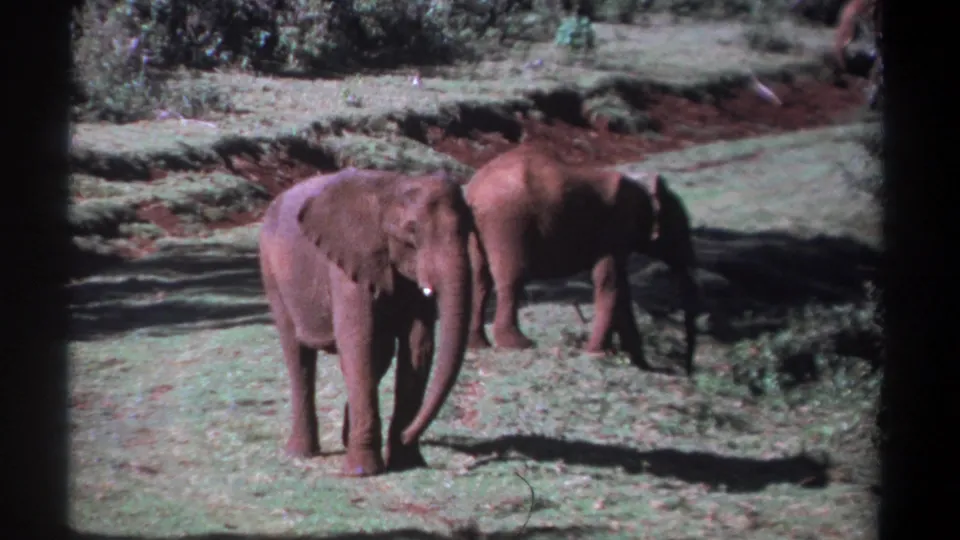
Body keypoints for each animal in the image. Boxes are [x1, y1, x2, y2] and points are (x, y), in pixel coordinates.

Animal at [258, 167, 474, 477]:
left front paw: (407, 461)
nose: (408, 434)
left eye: (470, 228)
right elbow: (359, 342)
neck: (393, 187)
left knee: (380, 353)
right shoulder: (346, 263)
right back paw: (300, 453)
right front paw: (362, 472)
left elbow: (418, 346)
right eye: (411, 230)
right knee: (298, 355)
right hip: (272, 272)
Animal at [463, 146, 700, 377]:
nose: (687, 372)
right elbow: (609, 283)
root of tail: (474, 192)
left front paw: (638, 362)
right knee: (511, 278)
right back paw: (518, 344)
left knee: (479, 279)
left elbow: (621, 289)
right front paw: (598, 352)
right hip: (508, 222)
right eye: (680, 230)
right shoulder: (615, 229)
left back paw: (479, 344)